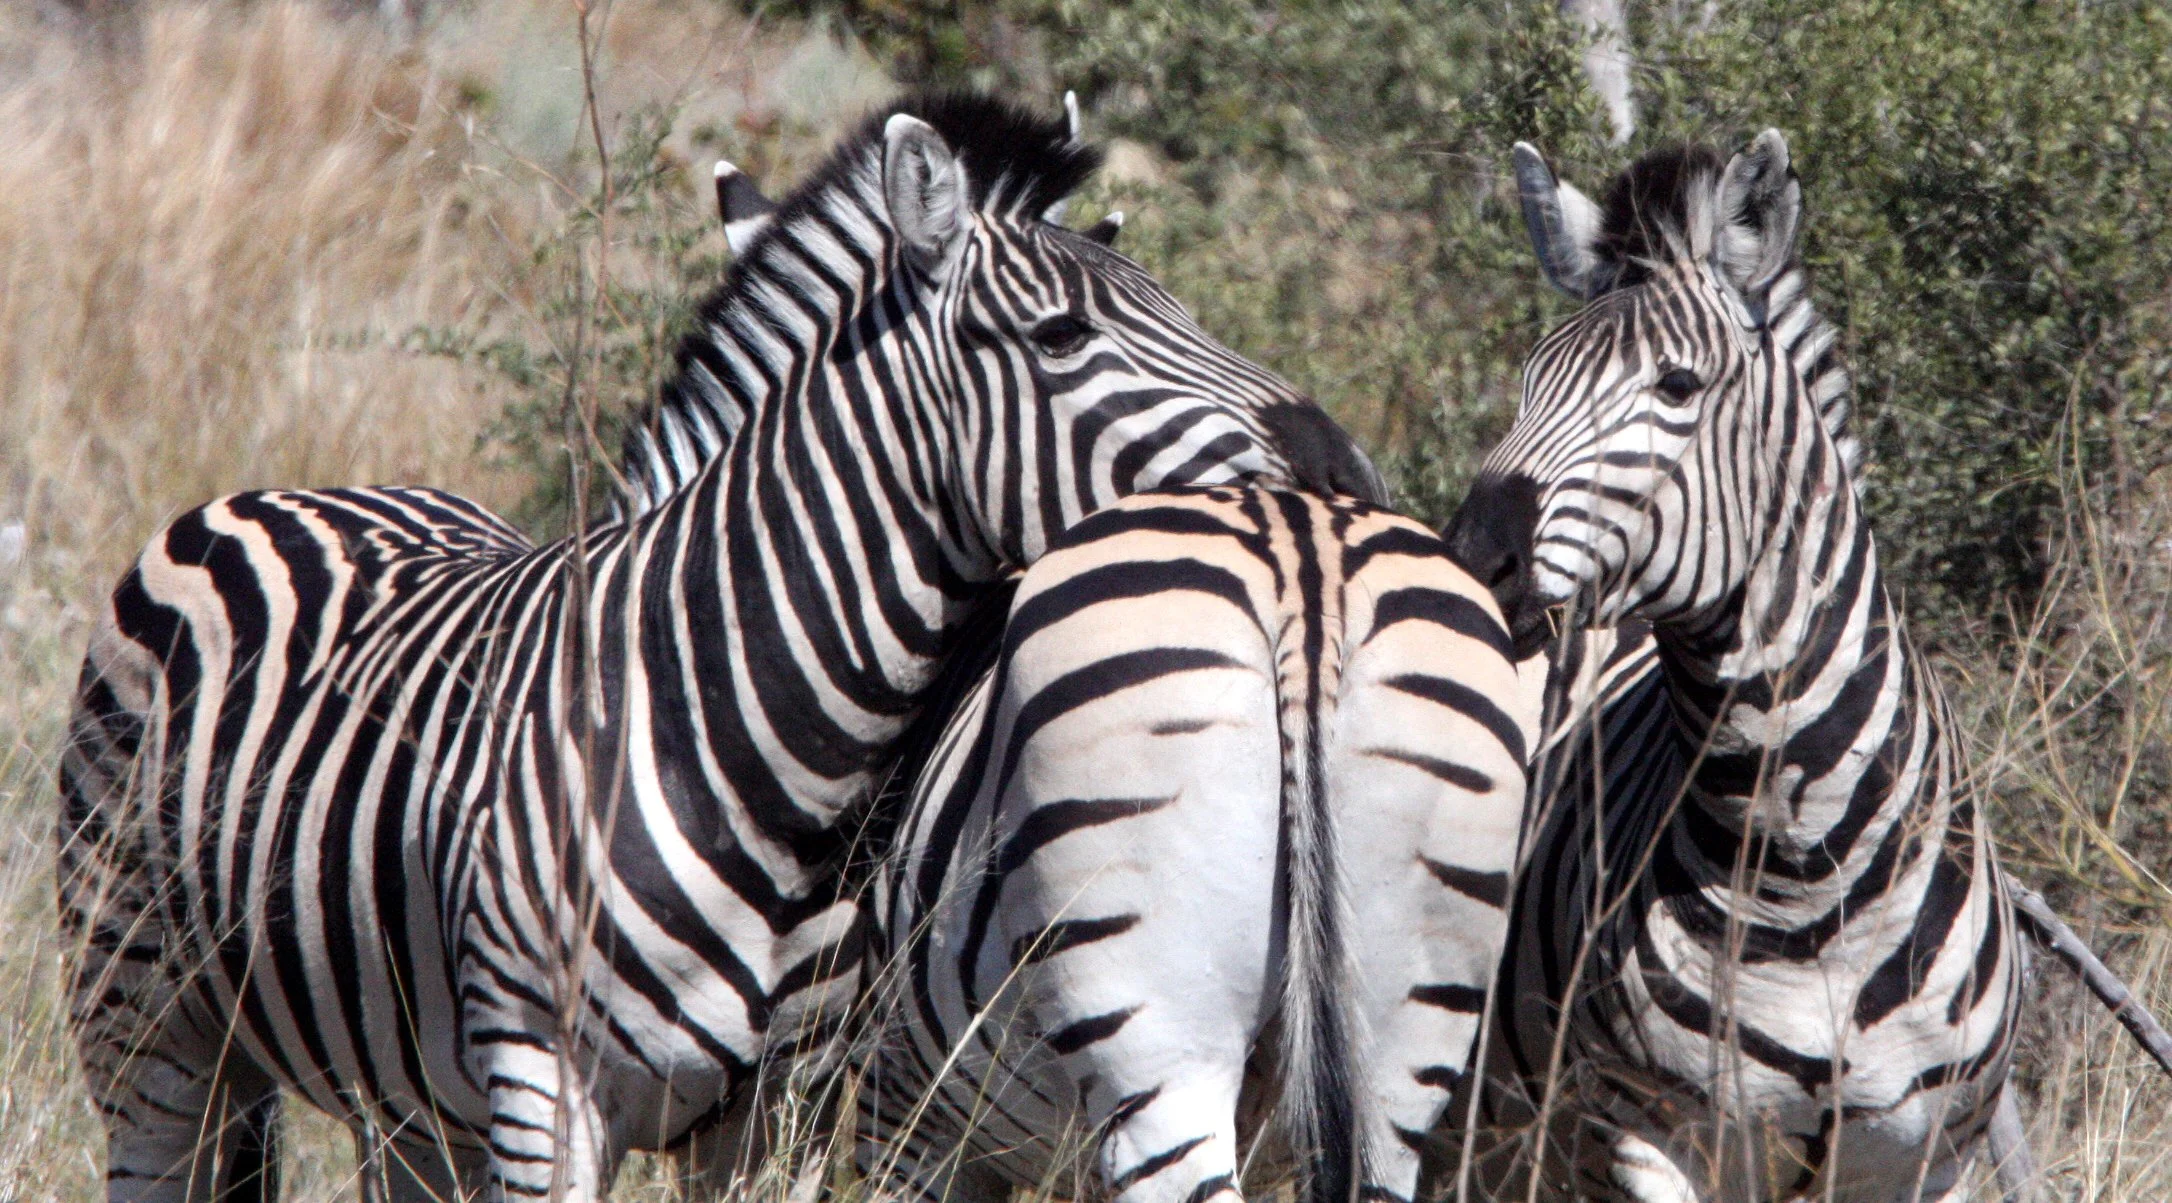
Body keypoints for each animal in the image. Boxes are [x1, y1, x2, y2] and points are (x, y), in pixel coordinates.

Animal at [54, 91, 1385, 1203]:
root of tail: (289, 490)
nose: (1344, 471)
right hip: (149, 1032)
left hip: (408, 1102)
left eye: (1186, 309)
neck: (771, 751)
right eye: (1058, 336)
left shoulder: (771, 1116)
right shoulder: (544, 1085)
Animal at [1434, 130, 2031, 1201]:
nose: (1468, 560)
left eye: (1676, 386)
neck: (1803, 872)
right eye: (1529, 381)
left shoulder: (1932, 1158)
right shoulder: (1640, 1137)